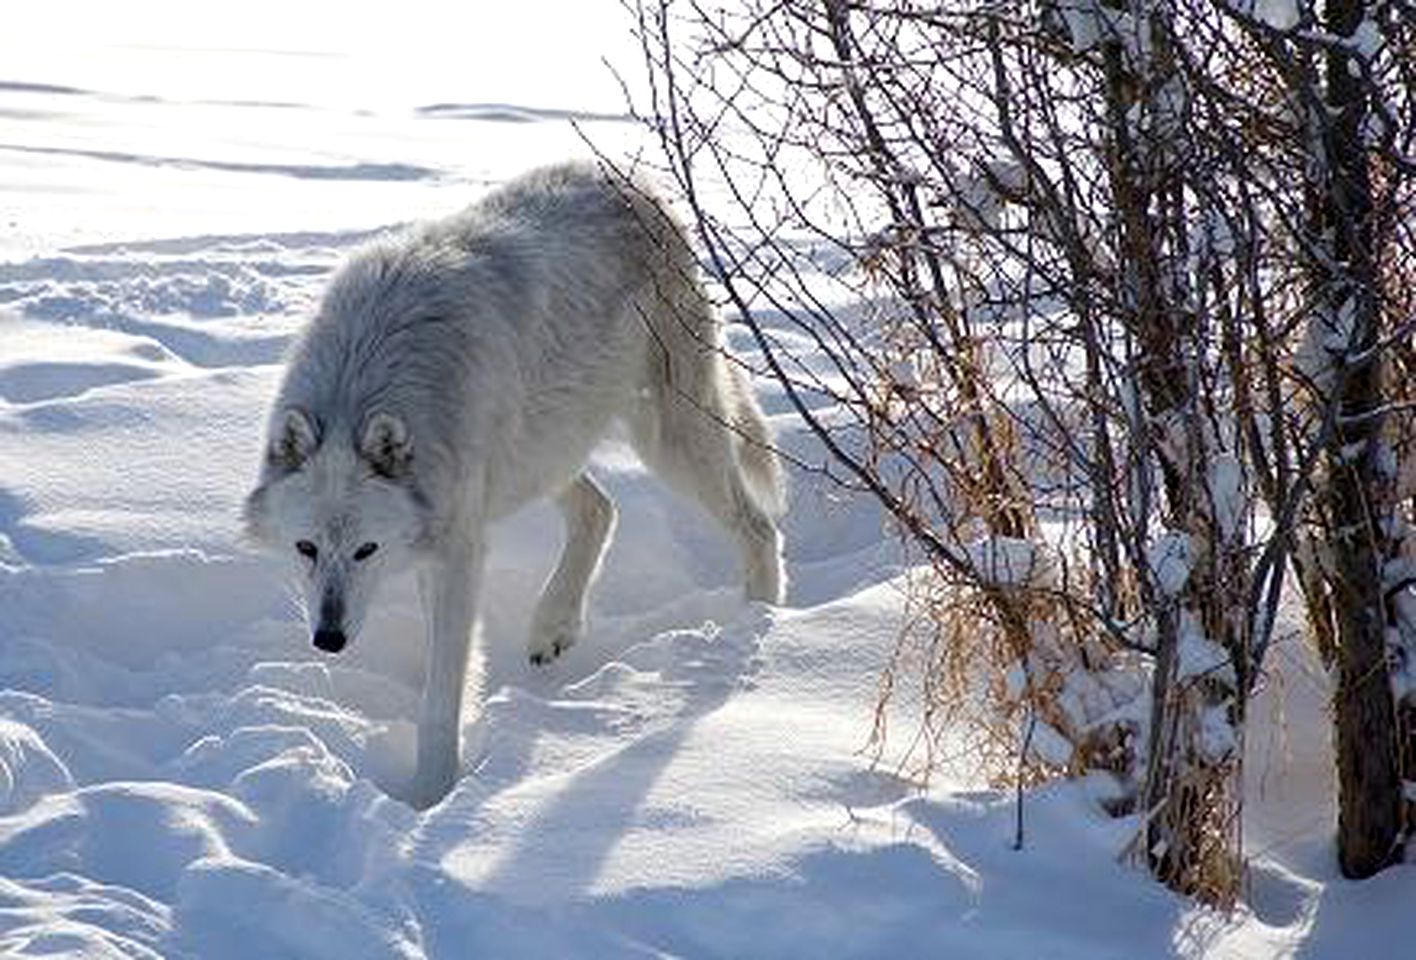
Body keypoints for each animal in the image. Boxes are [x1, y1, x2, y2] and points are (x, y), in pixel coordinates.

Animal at [243, 161, 787, 809]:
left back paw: (760, 626)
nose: (327, 639)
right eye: (306, 548)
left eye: (365, 550)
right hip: (545, 453)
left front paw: (431, 799)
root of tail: (639, 185)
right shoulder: (444, 537)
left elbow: (442, 699)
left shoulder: (458, 550)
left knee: (758, 526)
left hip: (669, 440)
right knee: (601, 509)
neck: (367, 375)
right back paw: (553, 628)